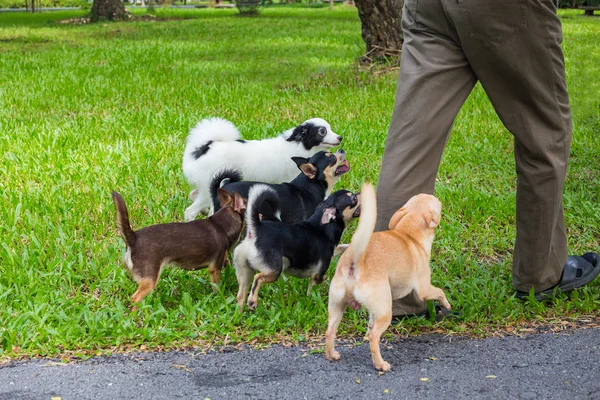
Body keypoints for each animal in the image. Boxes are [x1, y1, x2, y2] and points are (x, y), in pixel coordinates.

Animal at [112, 188, 246, 310]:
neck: (221, 225)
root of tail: (133, 237)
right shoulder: (215, 268)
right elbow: (217, 286)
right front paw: (220, 298)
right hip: (150, 280)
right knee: (135, 298)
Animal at [180, 115, 342, 222]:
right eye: (322, 131)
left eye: (330, 128)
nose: (340, 137)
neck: (299, 146)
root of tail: (204, 147)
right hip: (207, 188)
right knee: (190, 211)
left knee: (194, 195)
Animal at [232, 184, 358, 312]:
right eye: (353, 199)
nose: (360, 193)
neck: (322, 227)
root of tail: (255, 229)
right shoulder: (317, 276)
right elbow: (311, 291)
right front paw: (311, 300)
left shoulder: (333, 252)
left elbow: (343, 247)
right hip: (274, 271)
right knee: (258, 278)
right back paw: (252, 301)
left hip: (244, 271)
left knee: (241, 295)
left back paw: (240, 312)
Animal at [324, 184, 450, 372]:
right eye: (437, 202)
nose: (434, 194)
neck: (408, 235)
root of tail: (355, 260)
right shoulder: (424, 289)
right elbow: (440, 292)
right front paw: (447, 305)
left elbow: (370, 320)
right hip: (385, 310)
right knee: (374, 337)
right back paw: (380, 364)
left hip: (337, 305)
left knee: (330, 331)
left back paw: (332, 354)